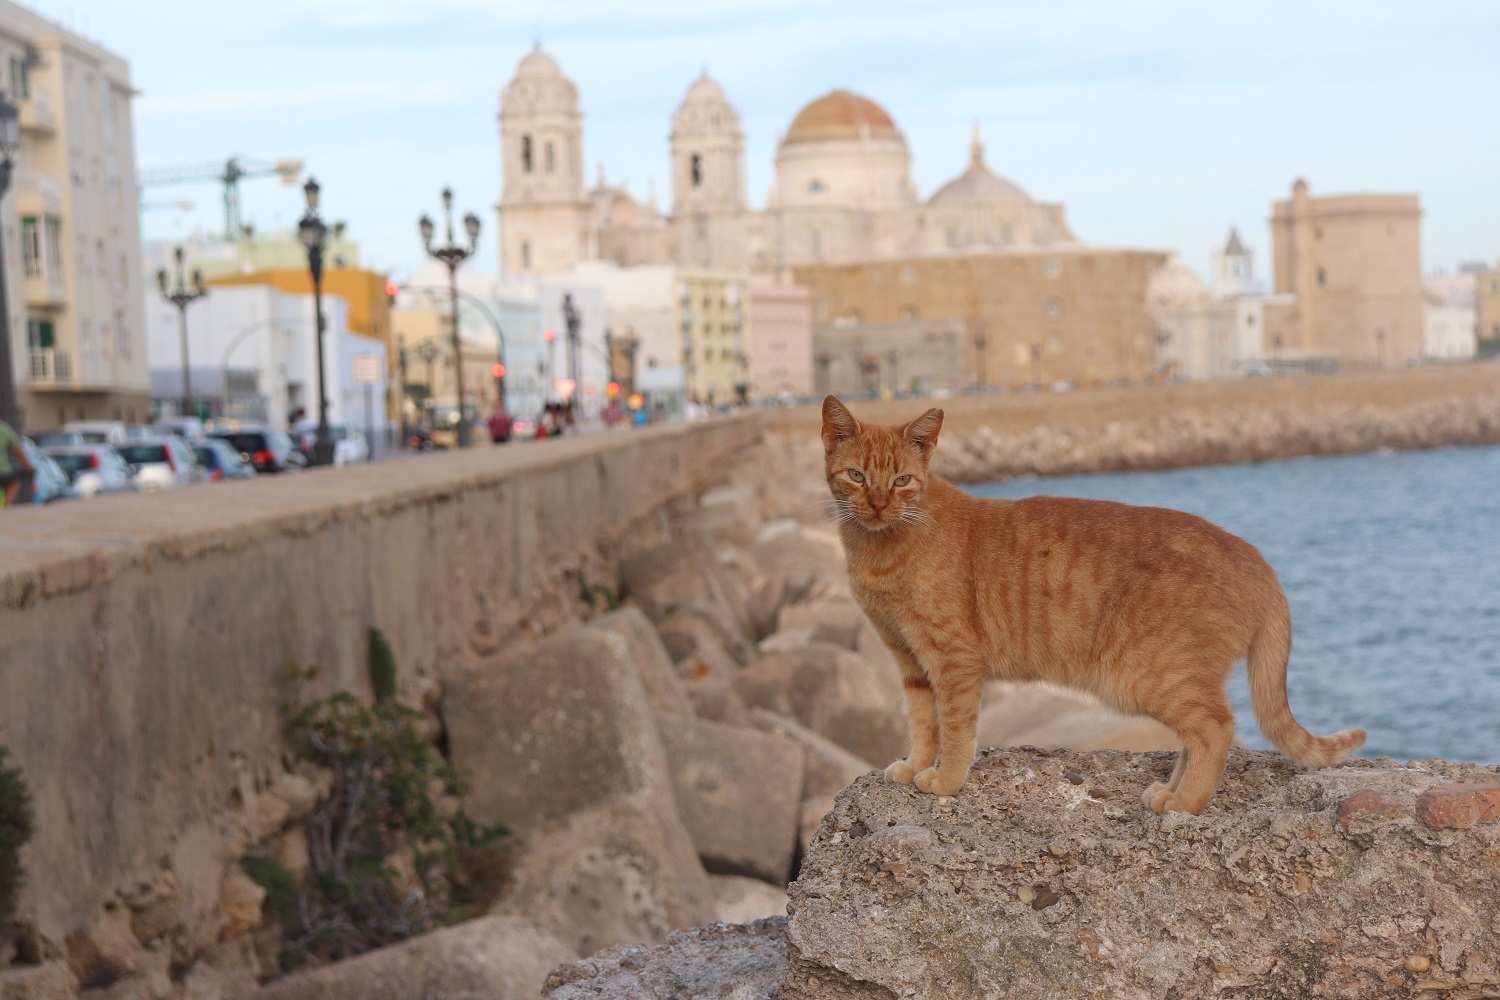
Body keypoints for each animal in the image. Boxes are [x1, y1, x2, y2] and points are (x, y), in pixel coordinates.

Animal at [828, 395, 1368, 815]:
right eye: (856, 475)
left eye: (901, 480)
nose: (878, 503)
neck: (880, 551)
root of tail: (1258, 558)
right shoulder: (909, 660)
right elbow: (923, 723)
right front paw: (915, 766)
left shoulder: (953, 660)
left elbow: (956, 730)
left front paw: (946, 781)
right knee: (1198, 737)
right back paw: (1168, 791)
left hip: (1152, 675)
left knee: (1217, 729)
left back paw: (1186, 804)